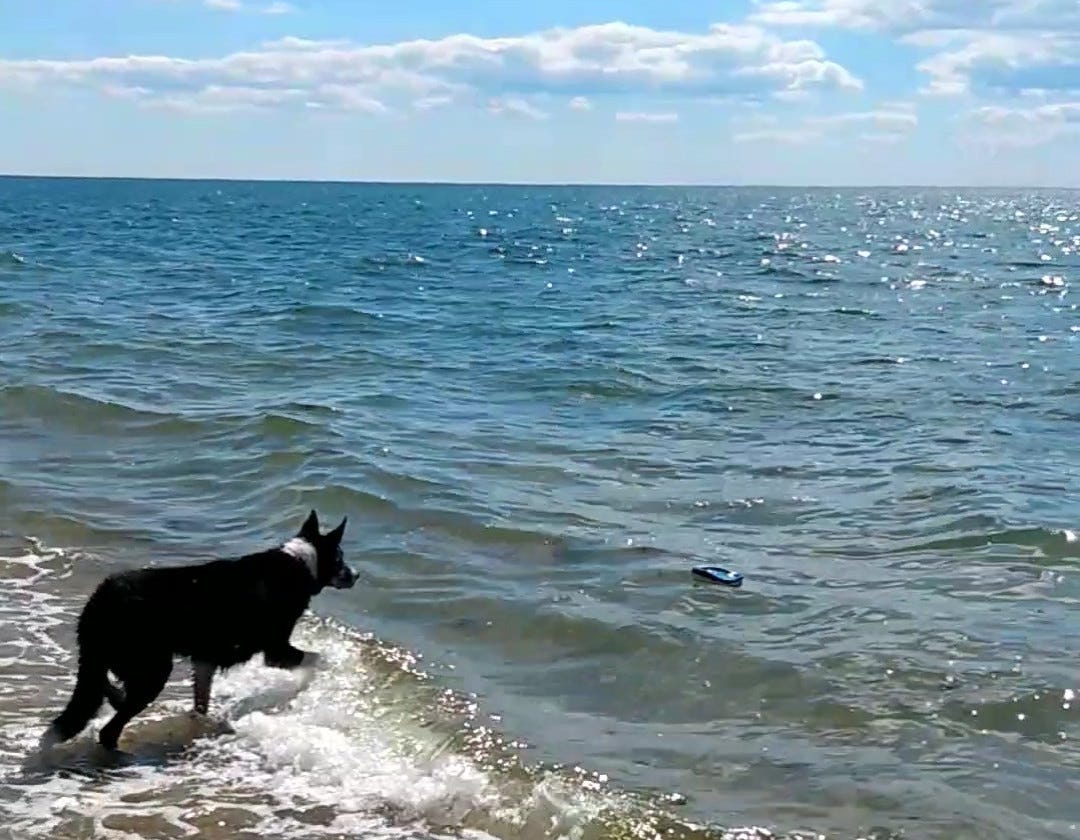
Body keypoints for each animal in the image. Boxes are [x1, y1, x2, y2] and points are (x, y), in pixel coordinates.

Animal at [38, 507, 356, 751]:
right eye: (340, 559)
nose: (357, 575)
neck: (300, 564)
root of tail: (99, 601)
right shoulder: (276, 649)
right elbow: (319, 659)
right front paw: (317, 678)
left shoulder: (205, 659)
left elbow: (201, 698)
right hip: (152, 668)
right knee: (109, 728)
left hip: (110, 661)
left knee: (100, 691)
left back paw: (114, 700)